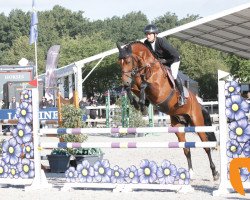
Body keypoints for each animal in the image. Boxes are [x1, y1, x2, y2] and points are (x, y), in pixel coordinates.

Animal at [116, 41, 219, 181]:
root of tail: (198, 103)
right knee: (186, 149)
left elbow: (144, 84)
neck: (147, 68)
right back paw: (190, 173)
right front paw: (138, 104)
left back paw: (215, 173)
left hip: (198, 123)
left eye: (127, 61)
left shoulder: (158, 91)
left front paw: (142, 103)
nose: (125, 81)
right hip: (178, 127)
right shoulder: (135, 85)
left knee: (206, 147)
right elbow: (133, 88)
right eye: (119, 62)